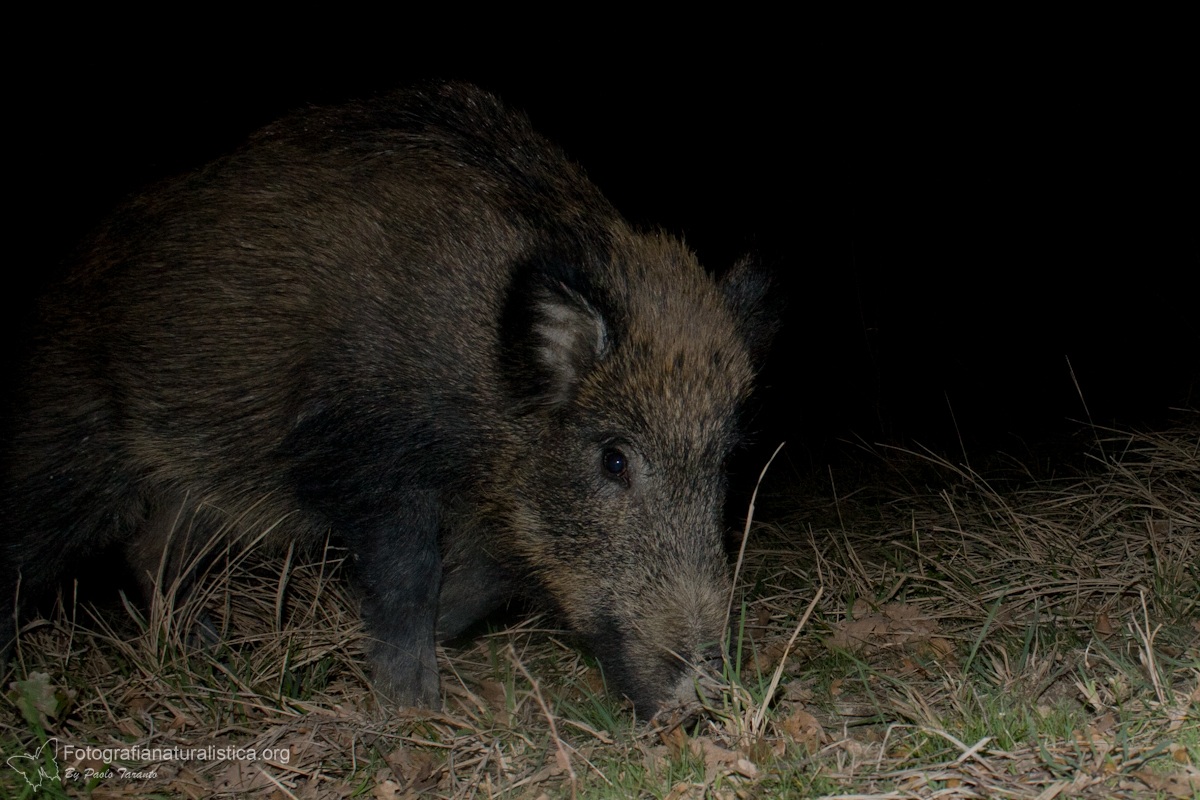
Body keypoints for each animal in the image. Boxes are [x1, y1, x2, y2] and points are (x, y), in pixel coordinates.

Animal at [0, 82, 775, 716]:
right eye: (614, 459)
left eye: (722, 468)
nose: (701, 693)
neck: (482, 390)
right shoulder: (365, 456)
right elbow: (409, 574)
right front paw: (412, 704)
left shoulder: (498, 511)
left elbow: (480, 583)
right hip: (67, 437)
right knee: (38, 545)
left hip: (199, 487)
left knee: (152, 553)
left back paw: (209, 649)